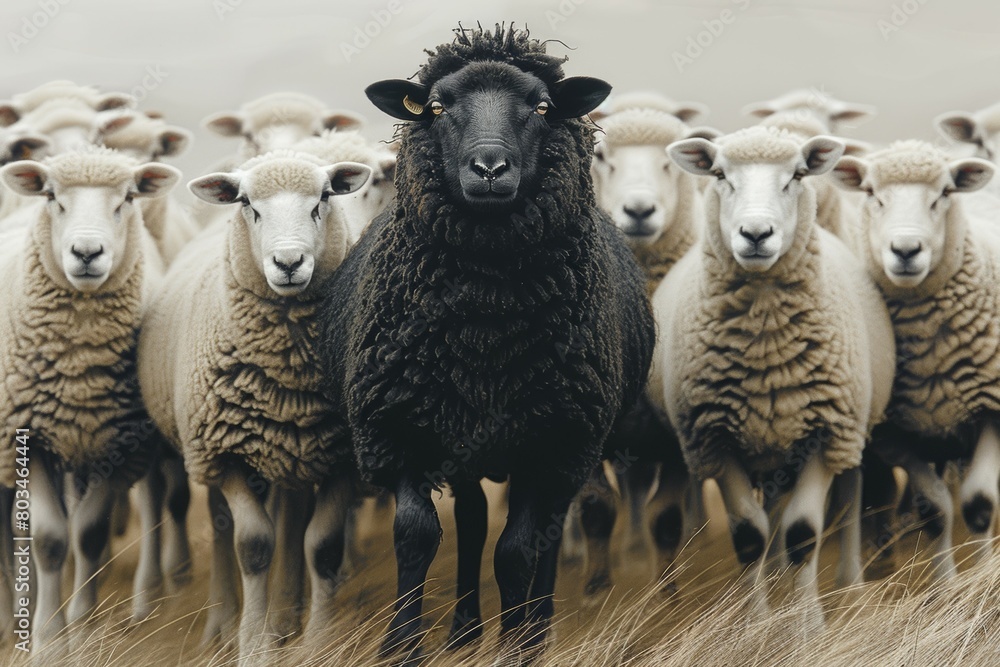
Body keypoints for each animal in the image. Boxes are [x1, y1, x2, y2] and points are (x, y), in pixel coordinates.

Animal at [0, 147, 178, 650]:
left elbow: (89, 534)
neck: (78, 365)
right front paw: (46, 638)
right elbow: (48, 538)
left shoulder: (116, 443)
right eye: (52, 197)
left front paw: (80, 628)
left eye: (129, 198)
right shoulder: (29, 436)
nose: (86, 253)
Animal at [137, 149, 371, 664]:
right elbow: (254, 546)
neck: (291, 374)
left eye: (323, 198)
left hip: (296, 452)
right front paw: (253, 648)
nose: (288, 262)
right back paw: (224, 622)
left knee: (293, 519)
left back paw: (285, 617)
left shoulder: (342, 456)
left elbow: (321, 547)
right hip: (209, 454)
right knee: (224, 529)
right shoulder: (224, 453)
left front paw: (316, 642)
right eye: (247, 204)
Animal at [318, 24, 654, 662]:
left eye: (542, 107)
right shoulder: (402, 428)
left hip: (565, 447)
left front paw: (517, 645)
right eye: (437, 107)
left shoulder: (551, 442)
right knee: (473, 520)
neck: (484, 324)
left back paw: (537, 625)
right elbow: (417, 535)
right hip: (469, 440)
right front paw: (402, 645)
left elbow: (518, 551)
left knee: (548, 531)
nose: (490, 166)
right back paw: (463, 629)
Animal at [657, 126, 895, 632]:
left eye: (797, 176)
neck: (767, 346)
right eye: (720, 175)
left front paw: (807, 628)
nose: (755, 234)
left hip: (848, 433)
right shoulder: (715, 438)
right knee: (768, 518)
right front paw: (755, 624)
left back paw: (848, 585)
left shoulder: (825, 431)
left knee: (847, 502)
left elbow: (803, 533)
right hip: (766, 447)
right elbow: (749, 535)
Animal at [830, 140, 1000, 579]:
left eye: (944, 193)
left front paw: (982, 575)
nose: (906, 251)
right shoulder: (891, 435)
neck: (932, 356)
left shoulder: (993, 411)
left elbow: (979, 501)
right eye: (872, 193)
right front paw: (945, 583)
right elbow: (934, 509)